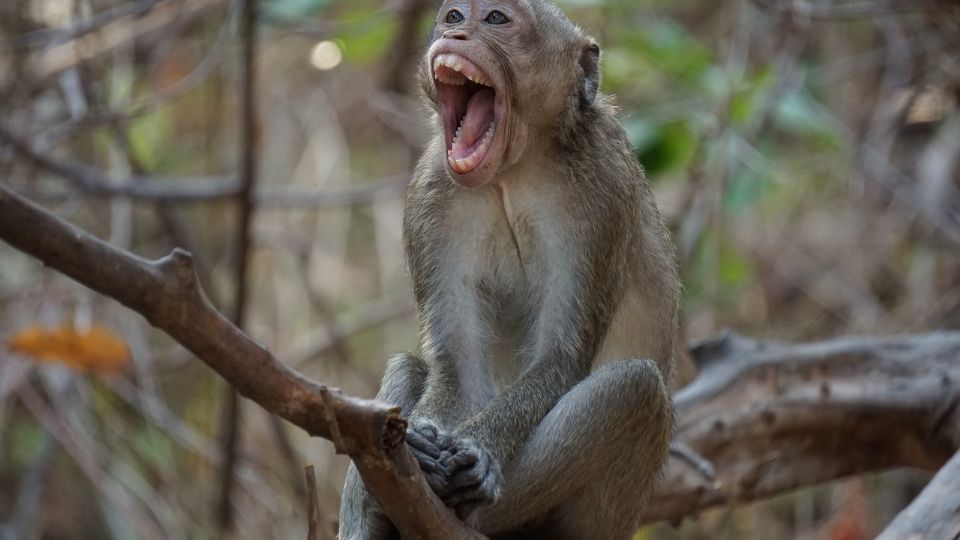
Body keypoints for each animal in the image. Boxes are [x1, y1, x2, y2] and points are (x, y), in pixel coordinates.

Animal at [342, 2, 680, 536]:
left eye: (497, 18)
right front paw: (421, 444)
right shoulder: (431, 191)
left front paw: (476, 455)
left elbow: (560, 357)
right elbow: (456, 362)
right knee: (407, 368)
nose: (455, 33)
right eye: (453, 15)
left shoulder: (602, 192)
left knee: (635, 388)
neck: (513, 170)